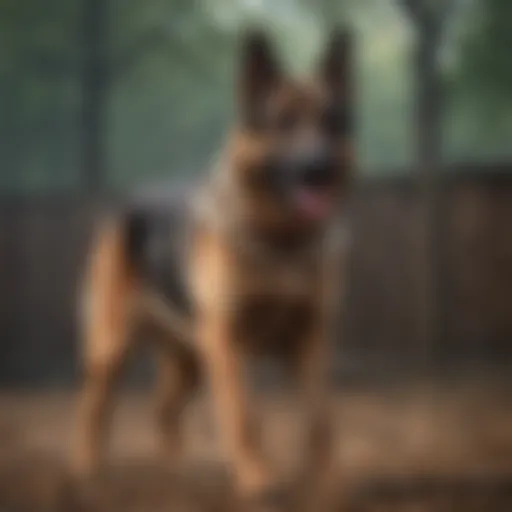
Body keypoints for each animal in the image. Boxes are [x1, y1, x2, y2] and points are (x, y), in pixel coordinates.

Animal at [72, 27, 354, 504]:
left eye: (331, 123)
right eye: (283, 122)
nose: (320, 169)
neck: (279, 242)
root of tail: (127, 202)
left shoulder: (311, 339)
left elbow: (322, 419)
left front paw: (330, 485)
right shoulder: (227, 340)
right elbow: (244, 415)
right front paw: (258, 481)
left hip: (191, 359)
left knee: (163, 410)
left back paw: (178, 478)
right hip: (114, 349)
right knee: (94, 408)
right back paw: (87, 472)